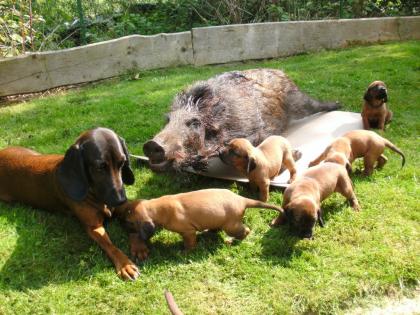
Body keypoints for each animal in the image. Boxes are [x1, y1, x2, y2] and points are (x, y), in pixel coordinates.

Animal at [0, 128, 140, 282]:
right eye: (100, 168)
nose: (121, 200)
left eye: (122, 163)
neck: (94, 193)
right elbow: (110, 245)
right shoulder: (93, 227)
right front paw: (125, 264)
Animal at [116, 189, 284, 260]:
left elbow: (189, 244)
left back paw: (232, 240)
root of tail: (242, 199)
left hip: (231, 226)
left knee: (245, 231)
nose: (119, 223)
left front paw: (185, 252)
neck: (158, 208)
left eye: (129, 223)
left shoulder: (188, 232)